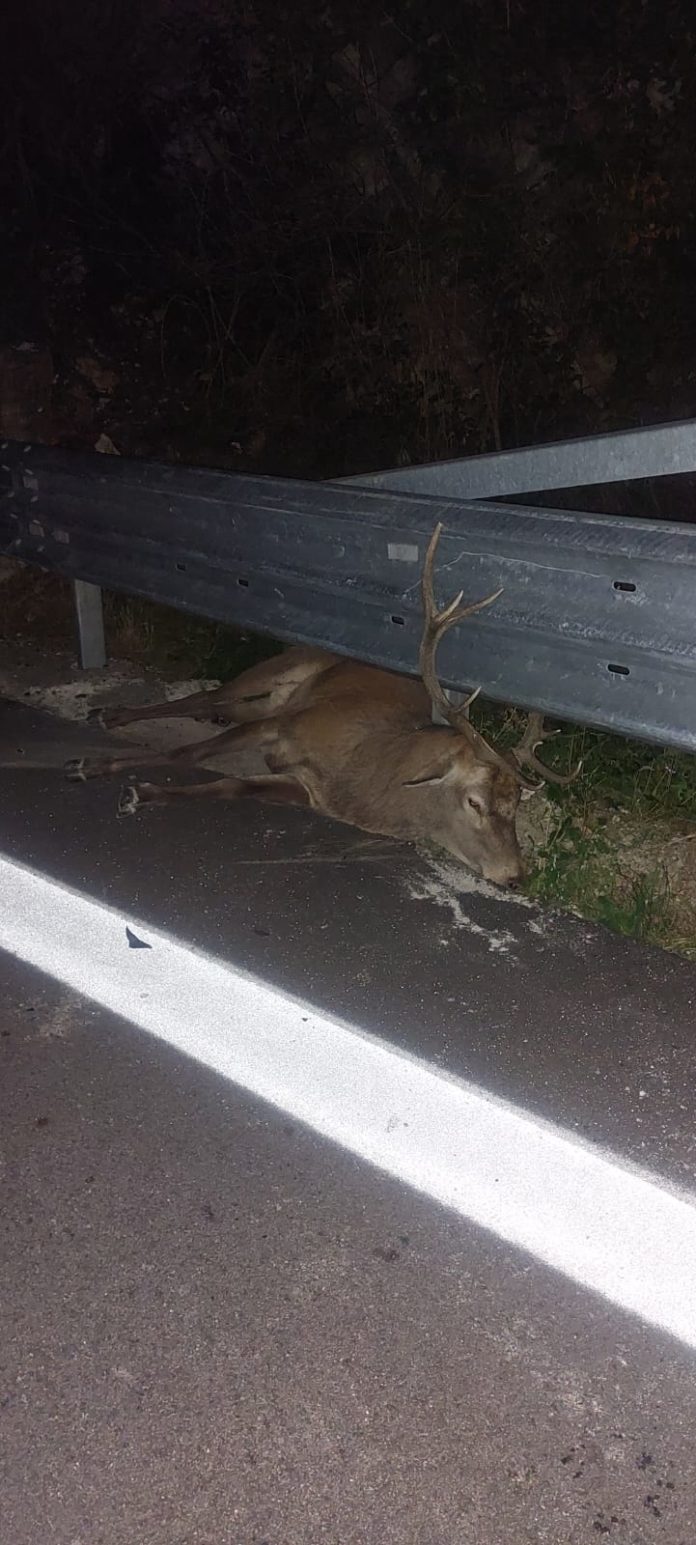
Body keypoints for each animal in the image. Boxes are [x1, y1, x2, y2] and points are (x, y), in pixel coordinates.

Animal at [64, 524, 580, 887]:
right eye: (475, 801)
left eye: (517, 806)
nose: (515, 876)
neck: (358, 776)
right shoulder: (290, 720)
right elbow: (185, 753)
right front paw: (103, 771)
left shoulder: (307, 786)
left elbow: (232, 785)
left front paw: (141, 790)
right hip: (280, 668)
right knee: (207, 693)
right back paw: (110, 714)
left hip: (265, 701)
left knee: (215, 704)